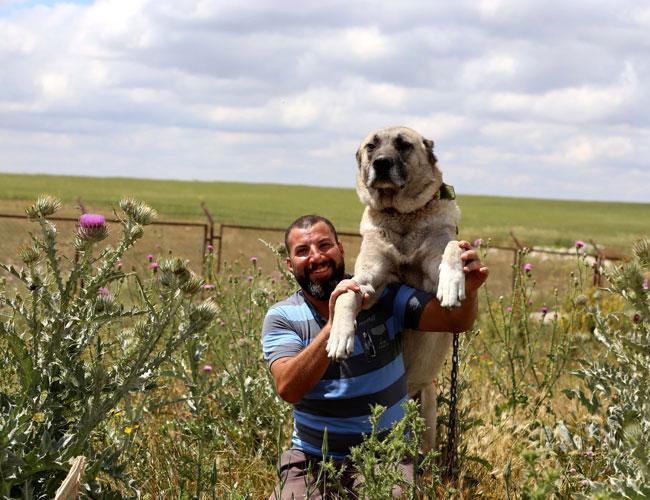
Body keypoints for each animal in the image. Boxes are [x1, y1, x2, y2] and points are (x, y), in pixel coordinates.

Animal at [326, 125, 464, 450]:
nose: (381, 163)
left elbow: (452, 247)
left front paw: (453, 284)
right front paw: (339, 337)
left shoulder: (432, 272)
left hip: (427, 420)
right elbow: (345, 296)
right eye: (371, 146)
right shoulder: (368, 282)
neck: (401, 217)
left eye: (403, 145)